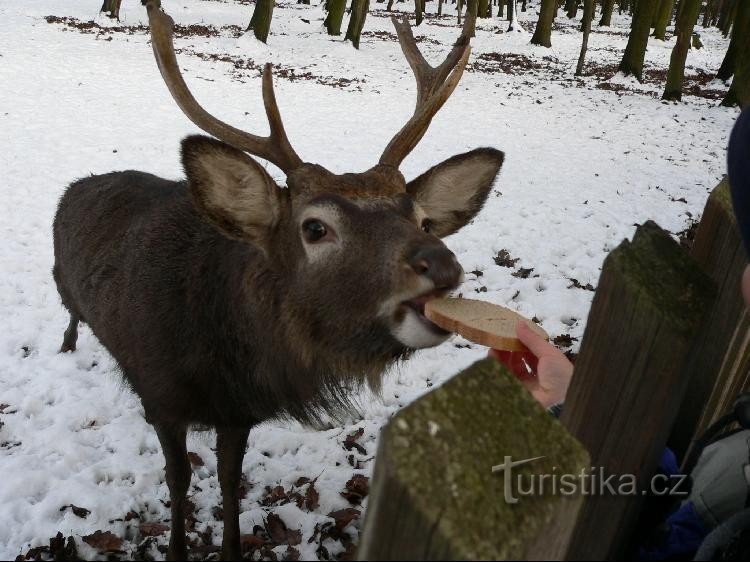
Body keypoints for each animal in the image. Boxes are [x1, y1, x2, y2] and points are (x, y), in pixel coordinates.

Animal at [50, 2, 502, 556]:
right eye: (315, 227)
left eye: (421, 219)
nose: (442, 265)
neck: (218, 357)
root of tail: (79, 185)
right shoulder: (160, 397)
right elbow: (178, 480)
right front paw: (177, 546)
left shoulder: (239, 413)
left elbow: (230, 481)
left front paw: (230, 547)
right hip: (61, 281)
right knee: (70, 313)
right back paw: (68, 345)